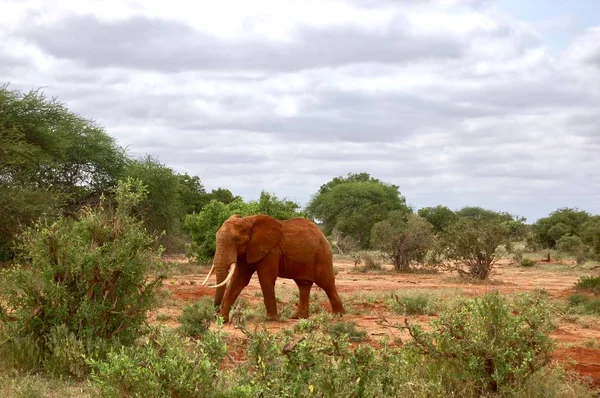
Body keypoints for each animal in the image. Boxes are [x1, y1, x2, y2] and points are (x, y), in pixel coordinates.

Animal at [202, 215, 344, 324]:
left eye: (236, 240)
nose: (216, 311)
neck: (248, 220)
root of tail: (323, 234)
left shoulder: (271, 251)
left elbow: (266, 279)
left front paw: (270, 319)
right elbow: (238, 280)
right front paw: (222, 320)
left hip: (322, 255)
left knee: (327, 284)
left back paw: (339, 315)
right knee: (303, 285)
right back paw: (298, 317)